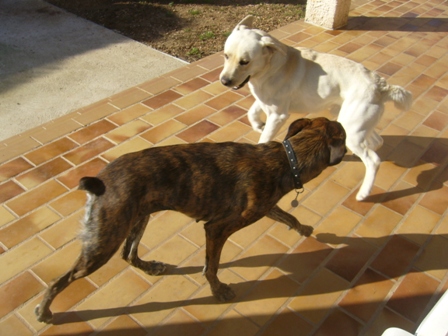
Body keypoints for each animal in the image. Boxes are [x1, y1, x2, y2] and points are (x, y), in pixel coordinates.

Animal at [35, 117, 344, 322]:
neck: (287, 158)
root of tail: (100, 181)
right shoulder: (217, 228)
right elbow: (212, 266)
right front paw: (218, 291)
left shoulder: (265, 207)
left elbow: (287, 215)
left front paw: (303, 228)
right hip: (104, 241)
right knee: (61, 279)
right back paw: (44, 311)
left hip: (138, 218)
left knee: (129, 253)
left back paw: (150, 266)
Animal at [220, 16, 412, 200]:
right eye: (226, 56)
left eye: (244, 62)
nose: (224, 81)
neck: (271, 66)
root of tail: (381, 86)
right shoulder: (266, 102)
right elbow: (252, 111)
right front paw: (257, 125)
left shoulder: (278, 115)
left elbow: (264, 138)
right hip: (354, 121)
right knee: (377, 142)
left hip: (351, 128)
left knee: (373, 160)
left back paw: (364, 193)